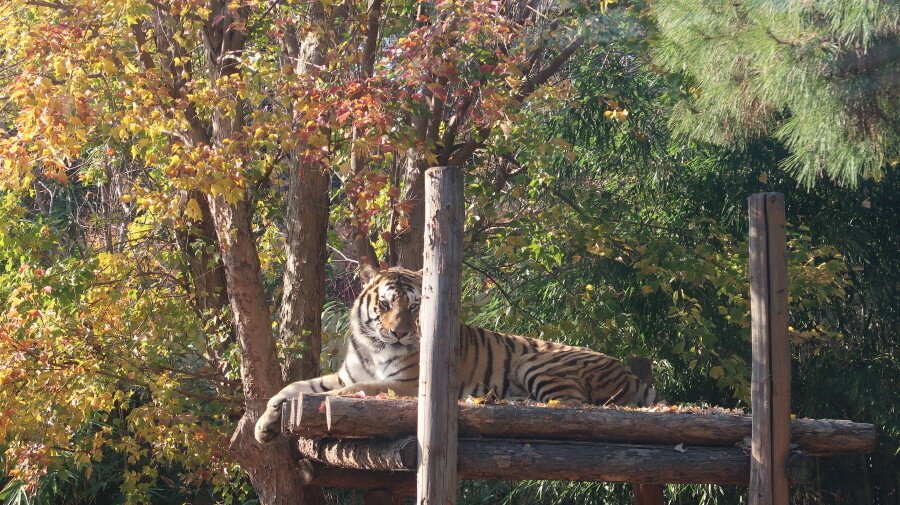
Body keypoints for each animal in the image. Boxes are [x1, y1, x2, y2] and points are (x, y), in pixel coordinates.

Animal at [255, 266, 660, 442]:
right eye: (385, 304)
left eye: (414, 308)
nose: (400, 332)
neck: (375, 347)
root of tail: (630, 372)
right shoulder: (347, 373)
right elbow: (293, 388)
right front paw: (264, 425)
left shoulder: (407, 383)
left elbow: (355, 390)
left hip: (537, 362)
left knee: (572, 406)